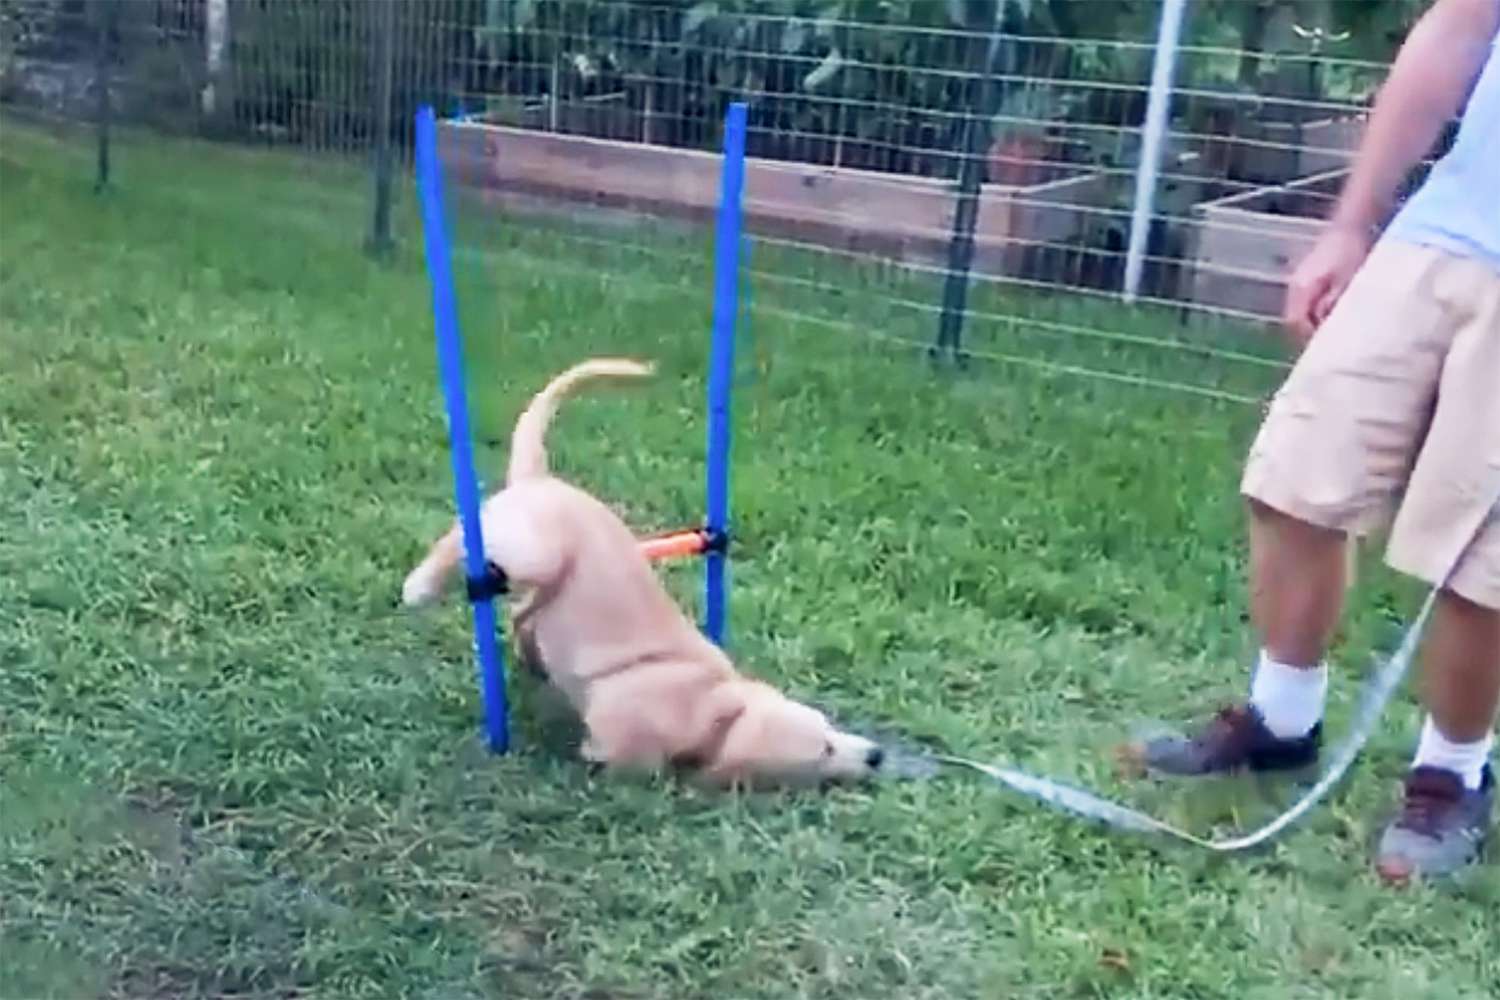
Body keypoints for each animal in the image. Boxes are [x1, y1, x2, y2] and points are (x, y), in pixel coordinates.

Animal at [405, 359, 882, 791]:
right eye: (823, 751)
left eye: (829, 726)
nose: (877, 755)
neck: (711, 708)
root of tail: (542, 481)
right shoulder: (626, 730)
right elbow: (625, 758)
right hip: (534, 549)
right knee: (464, 538)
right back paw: (419, 586)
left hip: (543, 579)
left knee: (522, 610)